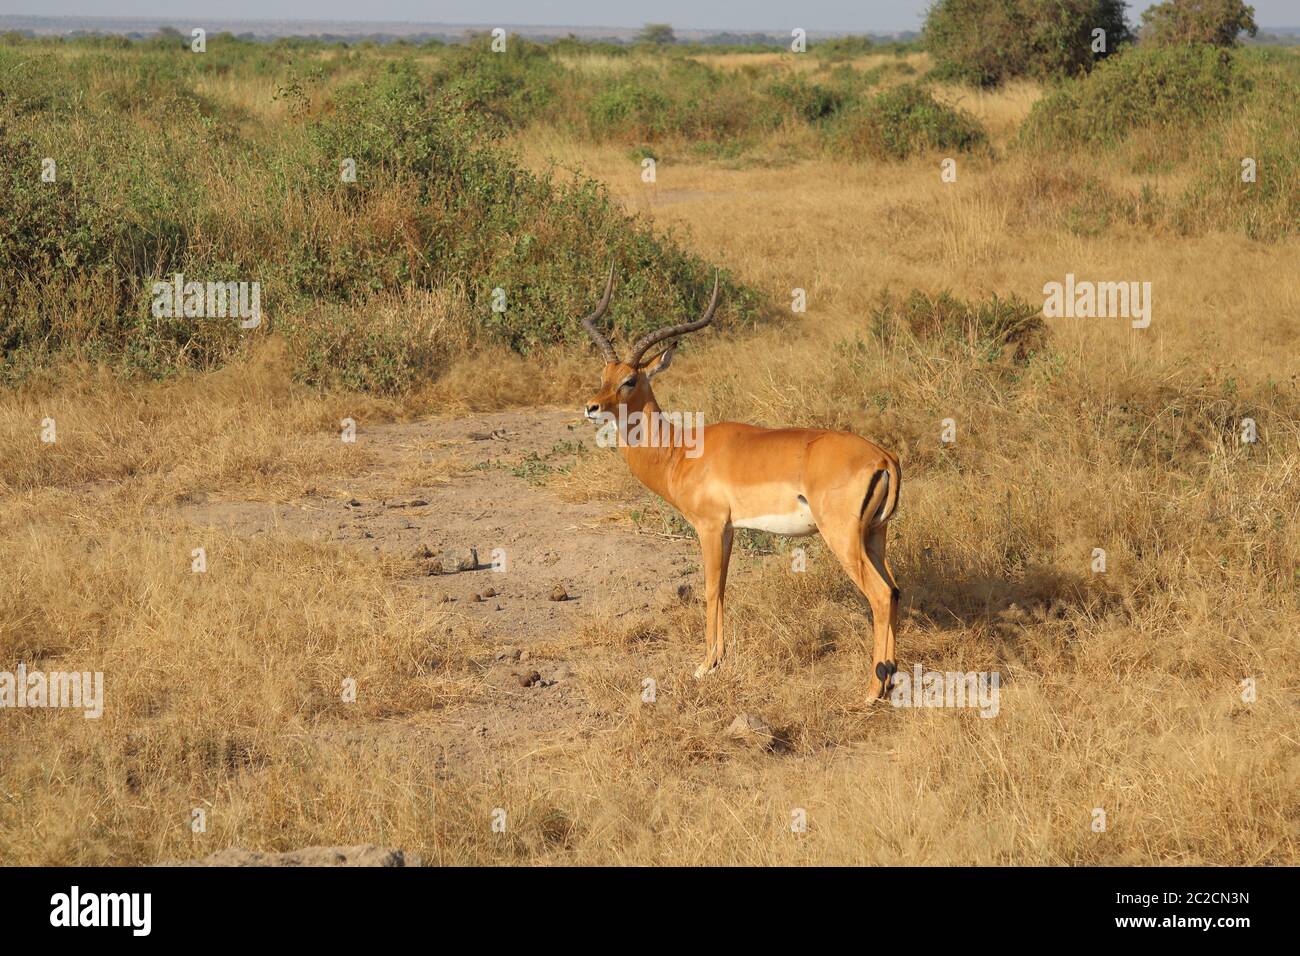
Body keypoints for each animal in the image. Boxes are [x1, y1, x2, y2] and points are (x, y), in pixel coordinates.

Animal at [579, 266, 903, 698]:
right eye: (604, 375)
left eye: (630, 380)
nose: (592, 407)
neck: (681, 451)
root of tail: (883, 457)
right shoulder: (730, 529)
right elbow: (724, 588)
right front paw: (717, 660)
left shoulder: (709, 526)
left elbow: (711, 588)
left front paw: (704, 666)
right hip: (875, 535)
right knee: (895, 589)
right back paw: (890, 678)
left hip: (843, 538)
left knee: (881, 595)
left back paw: (870, 691)